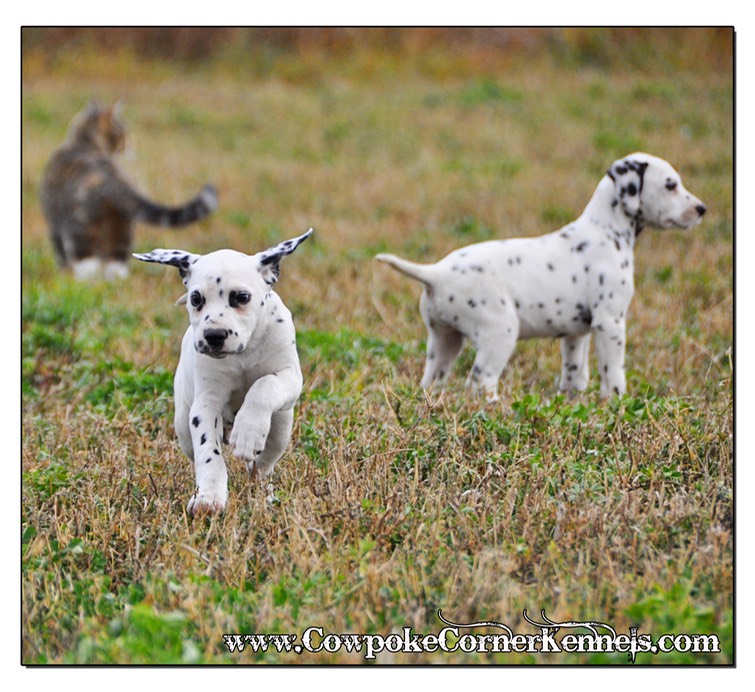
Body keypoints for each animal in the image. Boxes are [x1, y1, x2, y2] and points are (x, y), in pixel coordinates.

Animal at [40, 101, 219, 280]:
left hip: (79, 229)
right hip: (122, 228)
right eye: (123, 133)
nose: (129, 143)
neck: (84, 144)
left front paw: (63, 275)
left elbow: (61, 256)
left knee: (87, 265)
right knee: (117, 267)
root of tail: (112, 177)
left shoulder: (54, 224)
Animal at [136, 228, 314, 512]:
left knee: (264, 464)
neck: (243, 353)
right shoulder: (206, 405)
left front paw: (249, 431)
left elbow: (264, 385)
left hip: (281, 427)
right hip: (183, 425)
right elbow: (209, 454)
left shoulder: (290, 376)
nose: (214, 335)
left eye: (241, 297)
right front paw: (209, 497)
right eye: (196, 298)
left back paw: (264, 492)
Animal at [378, 151, 708, 400]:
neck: (604, 229)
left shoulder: (577, 333)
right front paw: (617, 404)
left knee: (432, 382)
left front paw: (572, 401)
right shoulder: (610, 322)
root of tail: (435, 272)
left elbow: (575, 372)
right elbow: (613, 374)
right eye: (670, 185)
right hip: (499, 333)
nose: (702, 209)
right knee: (480, 383)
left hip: (444, 342)